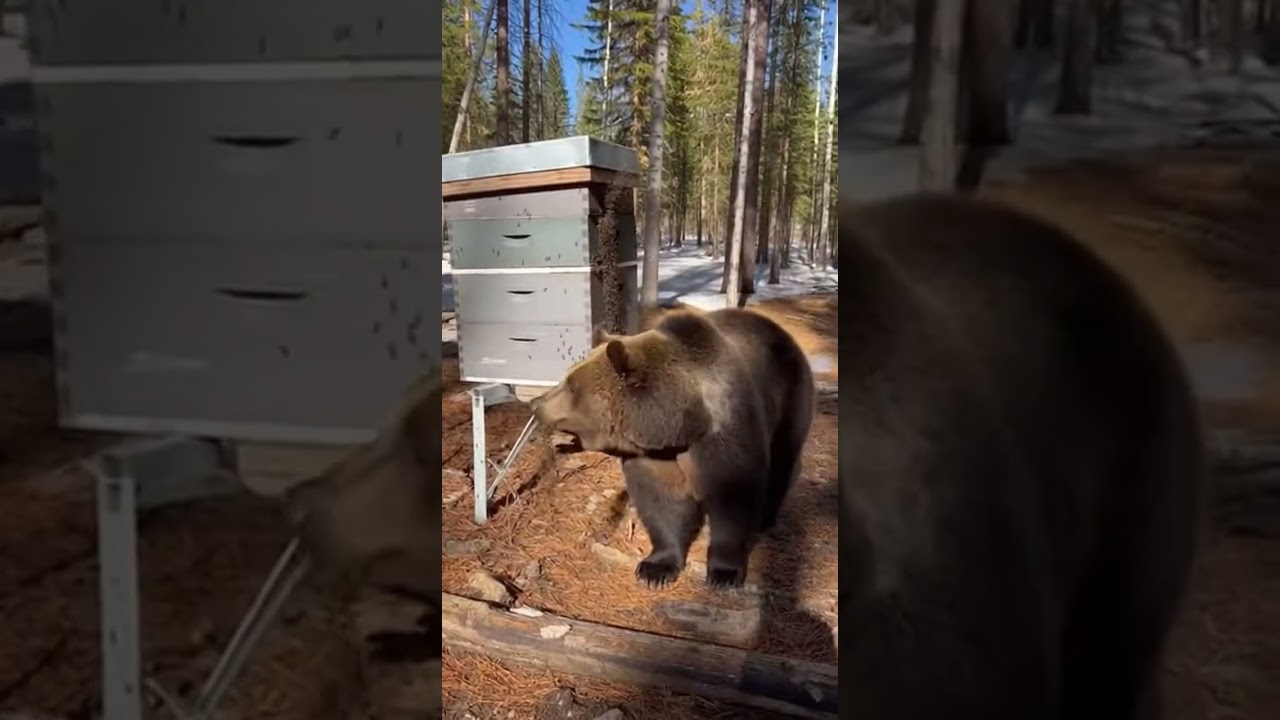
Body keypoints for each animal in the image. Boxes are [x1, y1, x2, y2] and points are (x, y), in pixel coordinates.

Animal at [530, 308, 815, 589]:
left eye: (571, 385)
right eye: (567, 377)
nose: (536, 403)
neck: (680, 427)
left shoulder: (726, 432)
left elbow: (733, 499)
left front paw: (724, 573)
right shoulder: (656, 457)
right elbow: (662, 501)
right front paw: (655, 569)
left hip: (788, 396)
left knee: (783, 462)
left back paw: (767, 518)